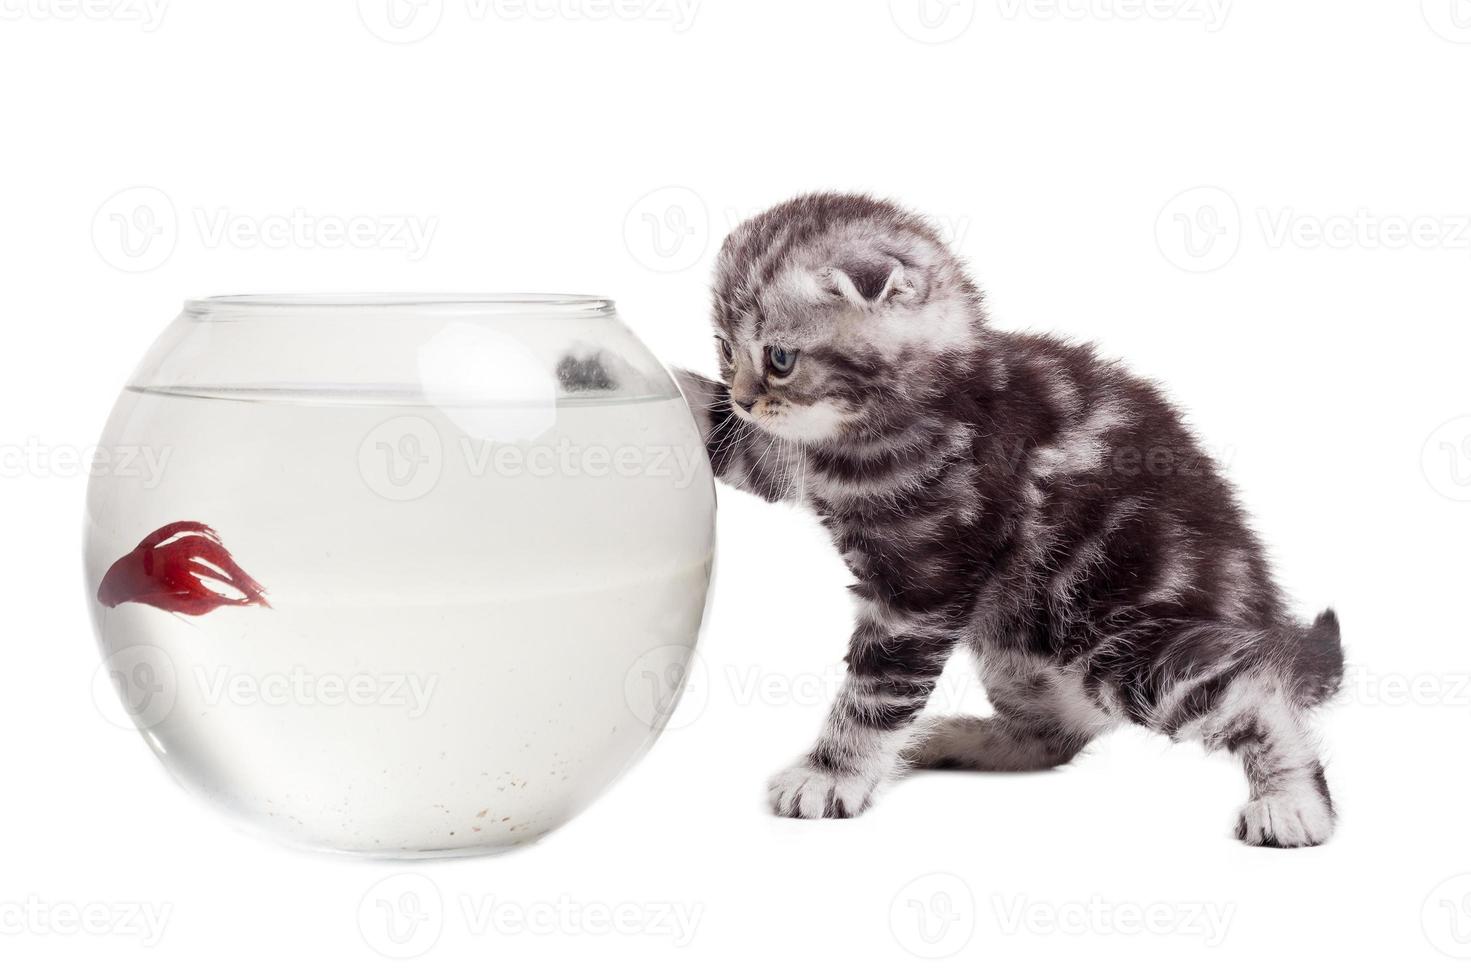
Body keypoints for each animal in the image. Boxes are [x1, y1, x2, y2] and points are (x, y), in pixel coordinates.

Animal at [673, 192, 1347, 847]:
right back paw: (952, 738)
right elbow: (740, 449)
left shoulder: (921, 589)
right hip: (1016, 646)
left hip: (1117, 640)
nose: (742, 398)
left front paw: (831, 774)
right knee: (1058, 733)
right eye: (726, 351)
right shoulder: (786, 455)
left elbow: (876, 693)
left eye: (780, 358)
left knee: (1253, 692)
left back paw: (1291, 801)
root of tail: (1256, 602)